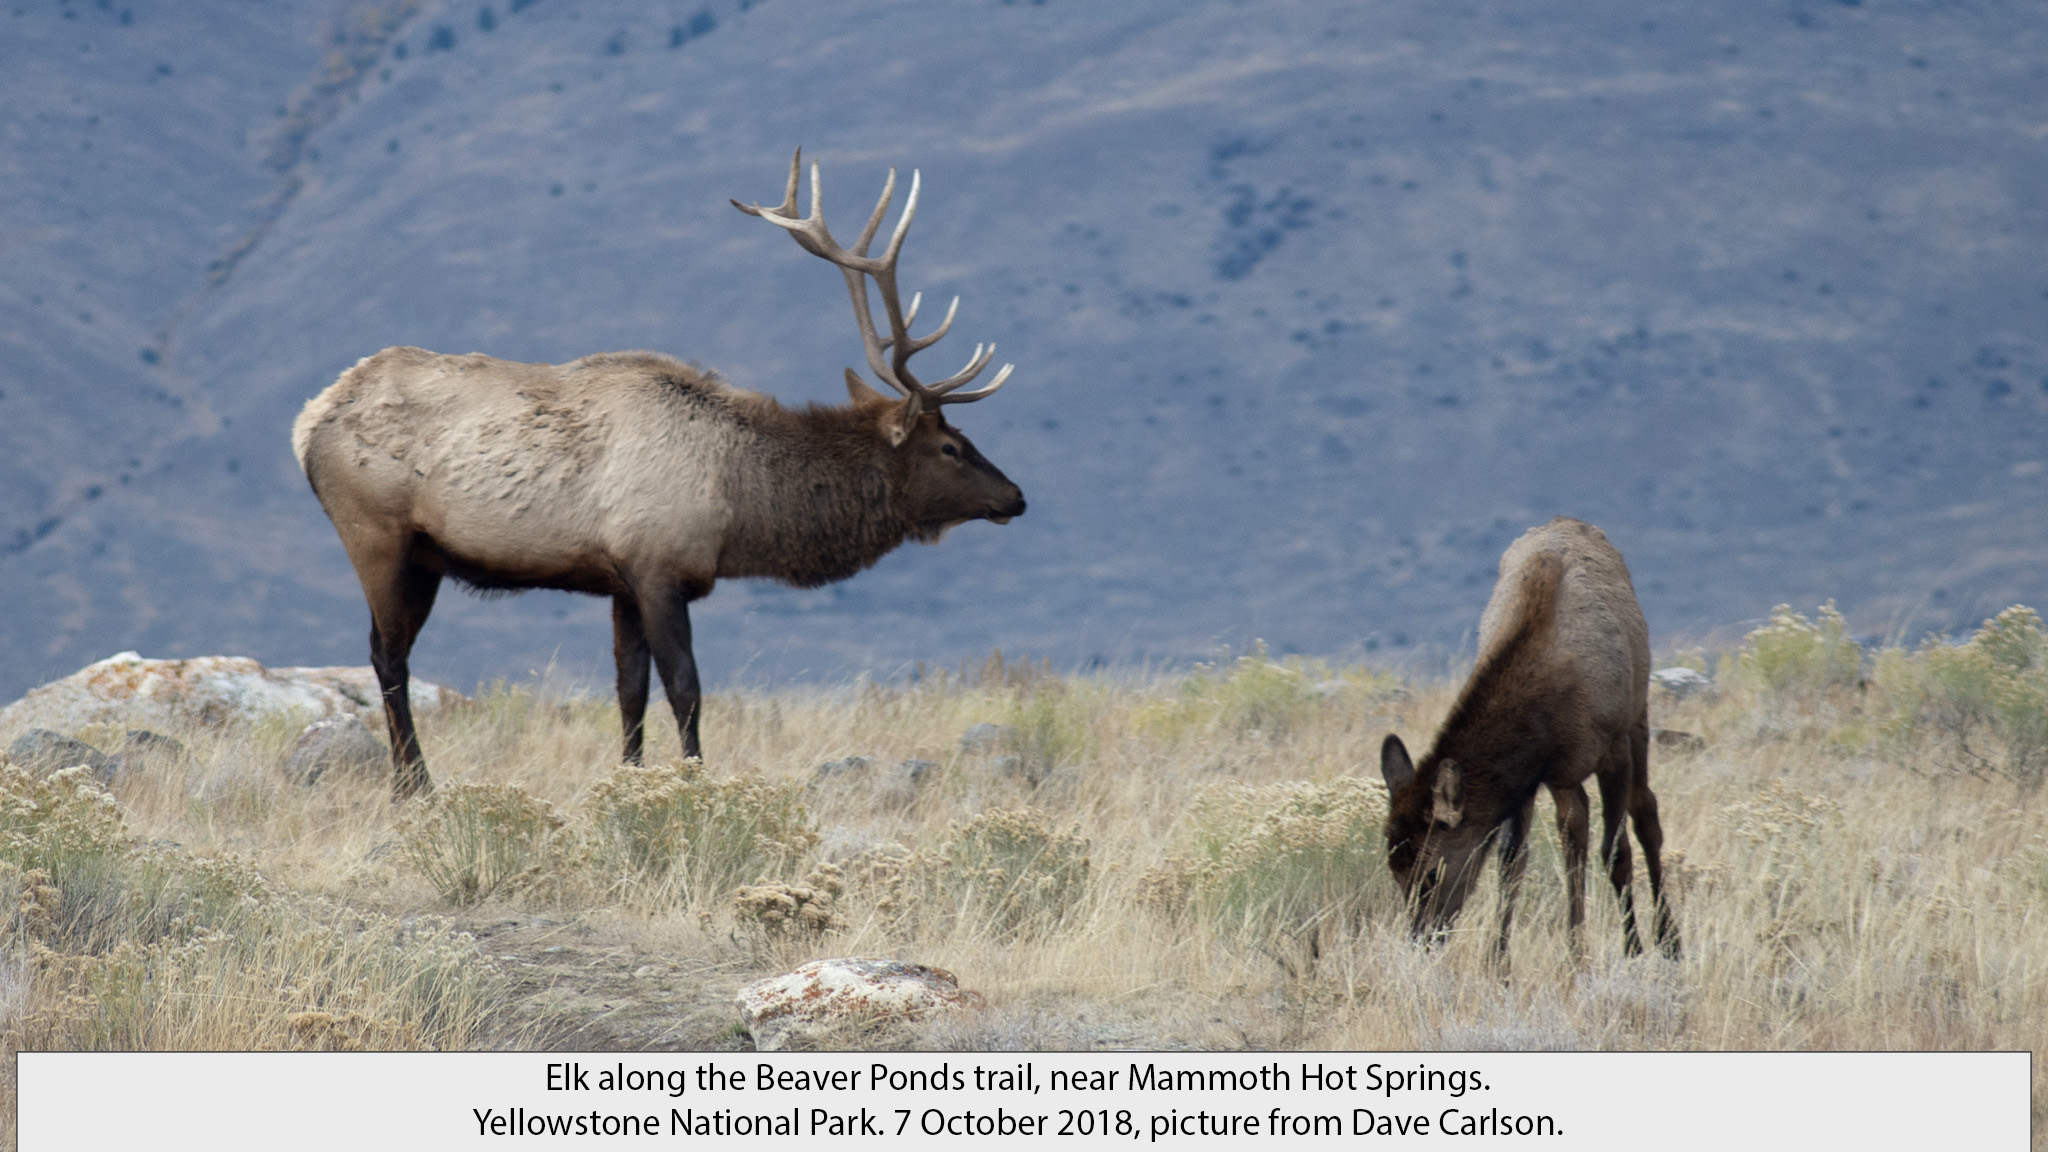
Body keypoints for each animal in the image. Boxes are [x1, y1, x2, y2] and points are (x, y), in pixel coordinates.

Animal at [292, 150, 1026, 798]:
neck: (740, 507)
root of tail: (308, 421)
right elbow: (686, 690)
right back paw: (413, 786)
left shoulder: (621, 580)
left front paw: (629, 782)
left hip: (422, 557)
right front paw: (693, 782)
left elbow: (629, 692)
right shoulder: (660, 568)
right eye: (951, 447)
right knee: (388, 657)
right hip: (378, 535)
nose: (1016, 497)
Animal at [1378, 517, 1679, 966]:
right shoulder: (1529, 775)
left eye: (1432, 871)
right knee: (1575, 831)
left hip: (1637, 714)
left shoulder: (1612, 749)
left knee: (1645, 814)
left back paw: (1669, 940)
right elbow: (1511, 861)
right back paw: (1576, 949)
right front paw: (1497, 963)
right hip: (1566, 776)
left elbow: (1615, 853)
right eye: (1394, 870)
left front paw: (1634, 951)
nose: (1422, 939)